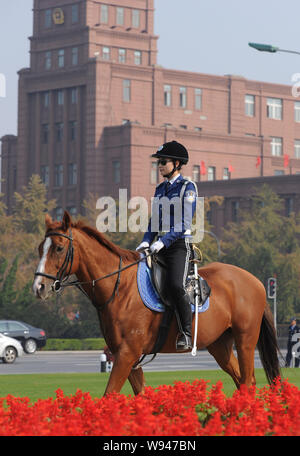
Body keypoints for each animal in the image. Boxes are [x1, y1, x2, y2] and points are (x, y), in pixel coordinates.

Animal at [32, 212, 282, 394]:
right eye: (40, 248)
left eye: (59, 248)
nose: (39, 287)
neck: (120, 287)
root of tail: (255, 281)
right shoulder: (127, 356)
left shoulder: (127, 354)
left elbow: (109, 395)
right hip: (220, 345)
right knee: (242, 381)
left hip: (245, 341)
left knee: (248, 381)